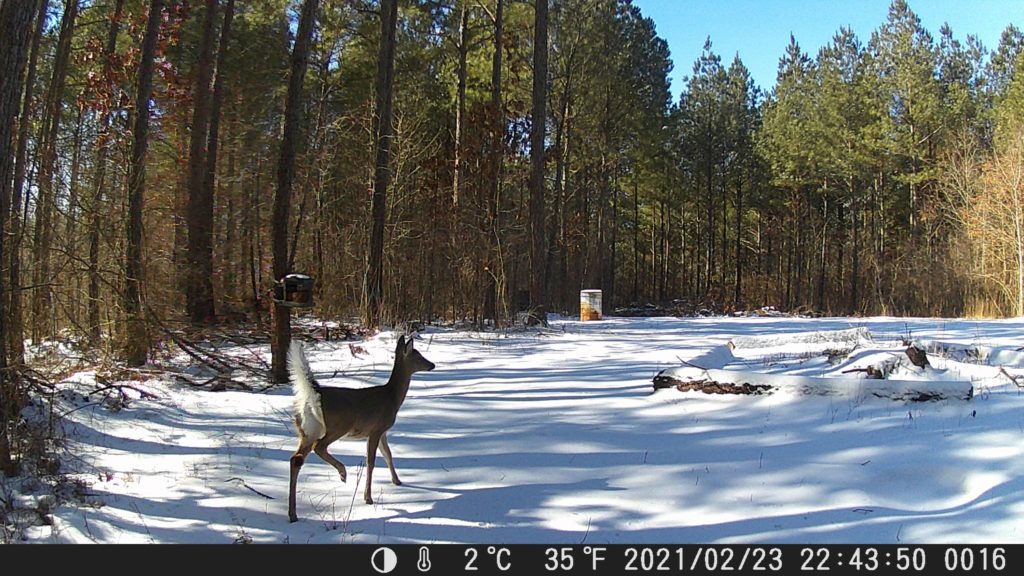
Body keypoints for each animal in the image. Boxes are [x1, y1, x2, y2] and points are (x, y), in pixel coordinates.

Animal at [286, 335, 435, 522]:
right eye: (418, 356)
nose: (432, 365)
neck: (392, 397)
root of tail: (314, 394)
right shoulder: (375, 429)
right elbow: (371, 462)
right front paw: (368, 497)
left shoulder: (383, 431)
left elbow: (388, 454)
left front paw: (397, 481)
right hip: (339, 424)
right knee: (319, 446)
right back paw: (342, 472)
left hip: (308, 429)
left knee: (296, 459)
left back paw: (293, 514)